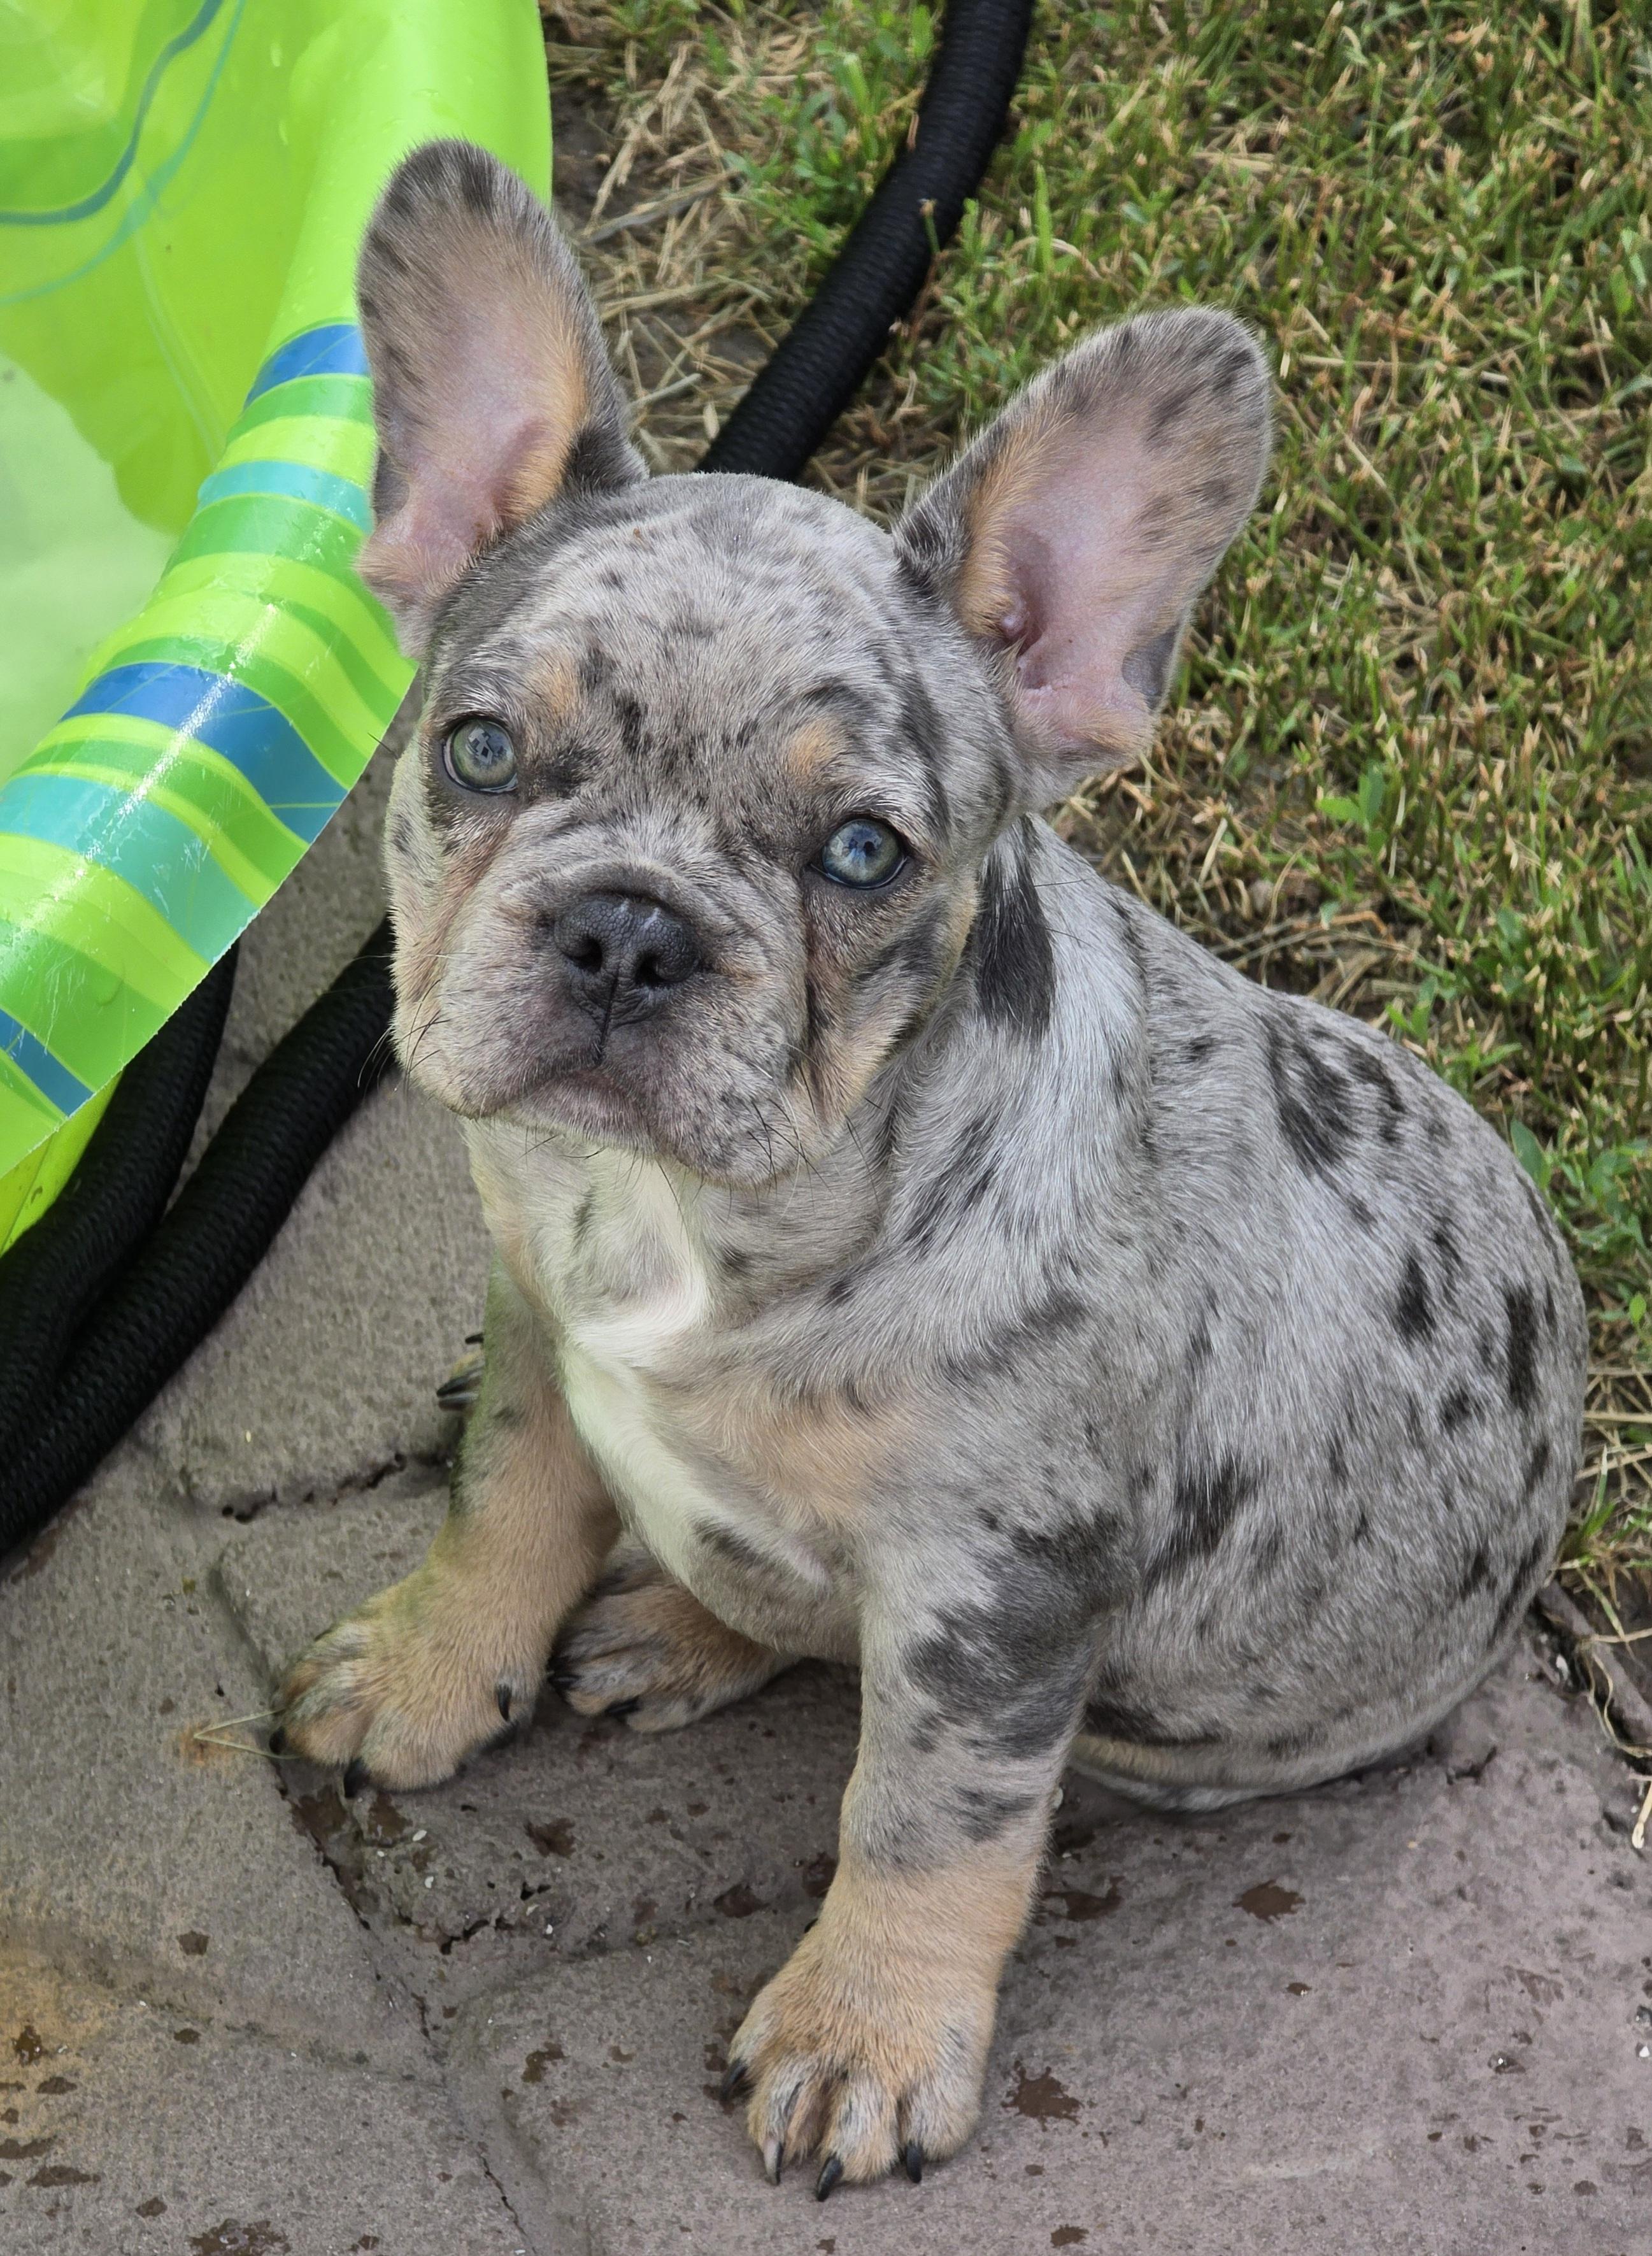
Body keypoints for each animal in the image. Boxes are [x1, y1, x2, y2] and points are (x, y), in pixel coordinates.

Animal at [272, 141, 1587, 2195]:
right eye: (478, 749)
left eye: (863, 853)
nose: (630, 931)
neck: (699, 1219)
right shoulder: (538, 1333)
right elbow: (501, 1505)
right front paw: (426, 1666)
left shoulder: (995, 1603)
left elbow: (923, 1822)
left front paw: (862, 2037)